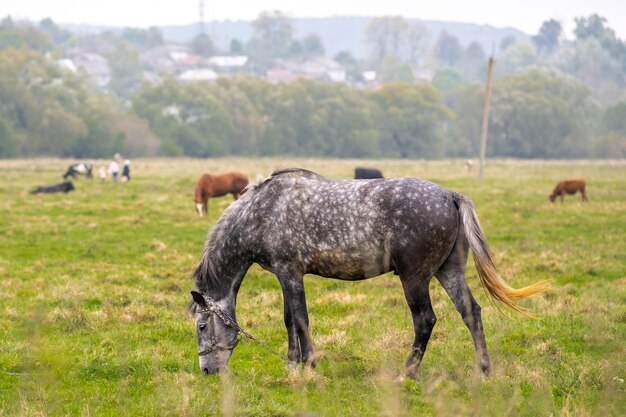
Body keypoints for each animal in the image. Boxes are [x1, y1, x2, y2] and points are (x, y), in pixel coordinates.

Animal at [188, 167, 544, 376]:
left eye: (202, 326)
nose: (207, 370)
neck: (262, 212)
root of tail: (451, 196)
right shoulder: (286, 274)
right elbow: (290, 319)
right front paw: (294, 365)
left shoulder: (289, 273)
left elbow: (300, 319)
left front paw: (307, 365)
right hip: (448, 272)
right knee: (471, 313)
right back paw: (484, 370)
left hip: (415, 279)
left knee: (425, 321)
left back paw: (407, 373)